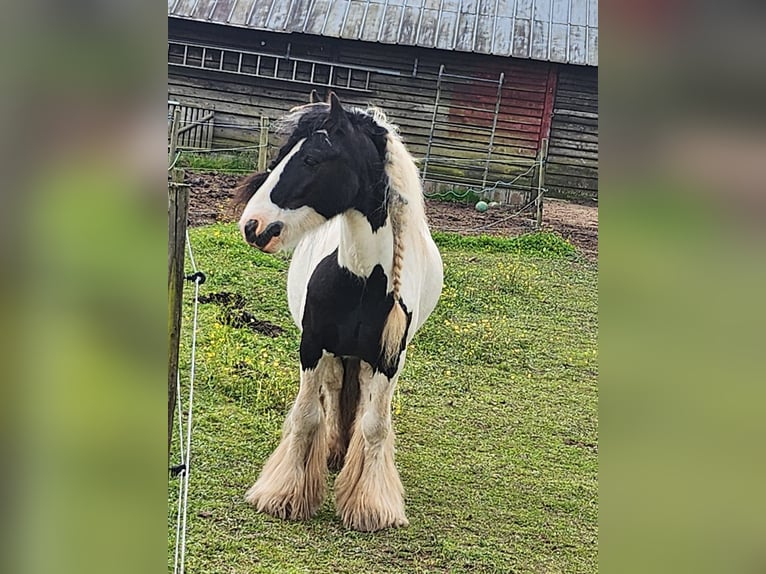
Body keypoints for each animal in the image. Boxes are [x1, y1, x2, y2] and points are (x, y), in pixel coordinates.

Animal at [234, 91, 443, 532]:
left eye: (312, 159)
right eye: (280, 155)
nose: (253, 226)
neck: (362, 281)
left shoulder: (387, 359)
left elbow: (375, 425)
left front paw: (370, 504)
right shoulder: (311, 346)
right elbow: (307, 416)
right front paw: (285, 495)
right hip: (332, 354)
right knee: (332, 391)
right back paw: (332, 451)